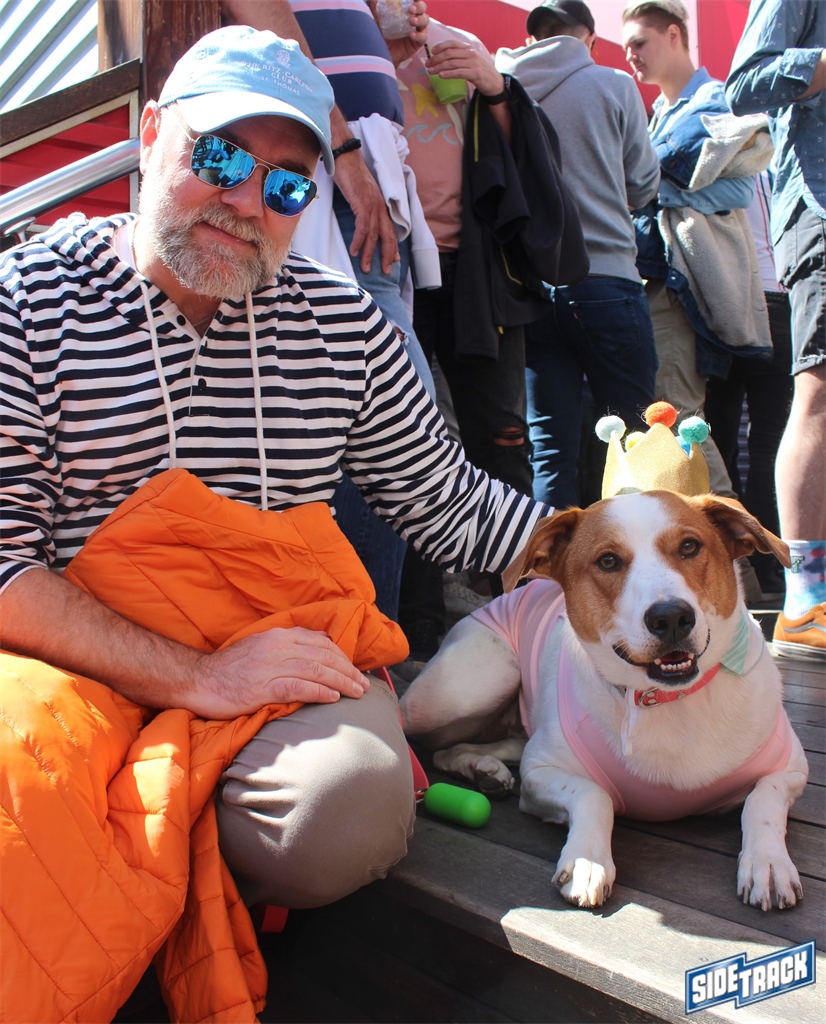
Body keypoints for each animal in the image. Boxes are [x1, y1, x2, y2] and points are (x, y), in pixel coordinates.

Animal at [400, 491, 809, 911]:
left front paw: (768, 863)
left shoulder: (791, 768)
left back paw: (486, 770)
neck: (666, 699)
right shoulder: (540, 772)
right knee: (426, 740)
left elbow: (762, 797)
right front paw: (587, 860)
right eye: (608, 561)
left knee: (468, 746)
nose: (672, 617)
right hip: (473, 685)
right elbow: (593, 794)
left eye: (690, 546)